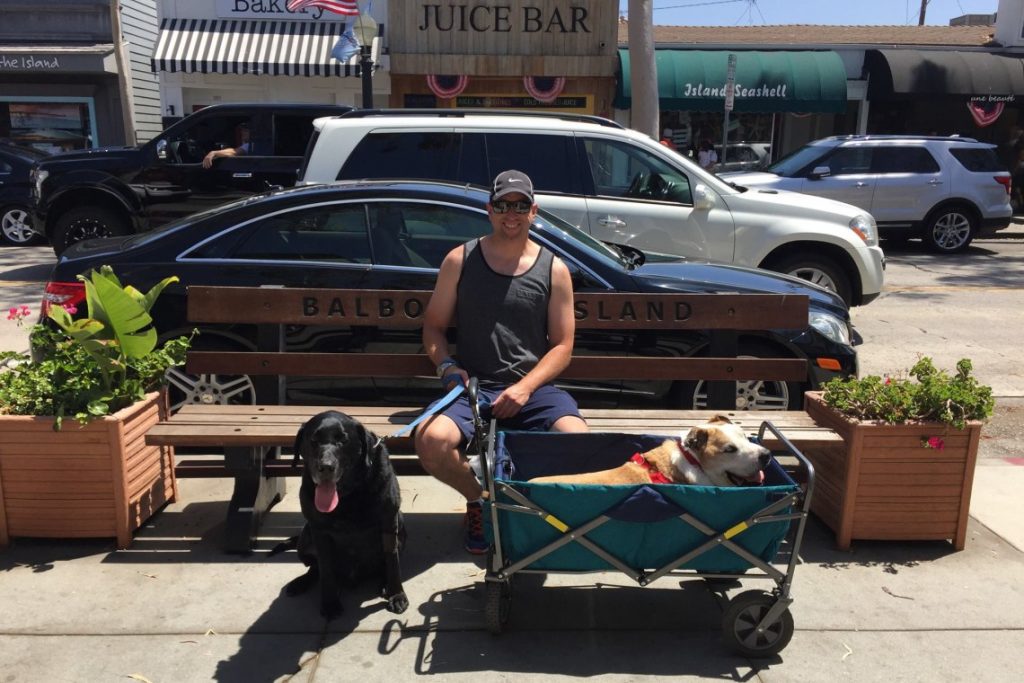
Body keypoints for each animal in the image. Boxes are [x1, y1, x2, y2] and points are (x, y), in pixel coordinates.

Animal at [284, 411, 407, 618]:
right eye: (313, 440)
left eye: (343, 440)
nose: (325, 467)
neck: (347, 495)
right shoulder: (319, 531)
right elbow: (325, 569)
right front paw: (330, 603)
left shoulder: (389, 521)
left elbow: (392, 561)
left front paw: (397, 595)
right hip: (304, 540)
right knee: (315, 569)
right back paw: (300, 583)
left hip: (401, 528)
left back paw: (384, 584)